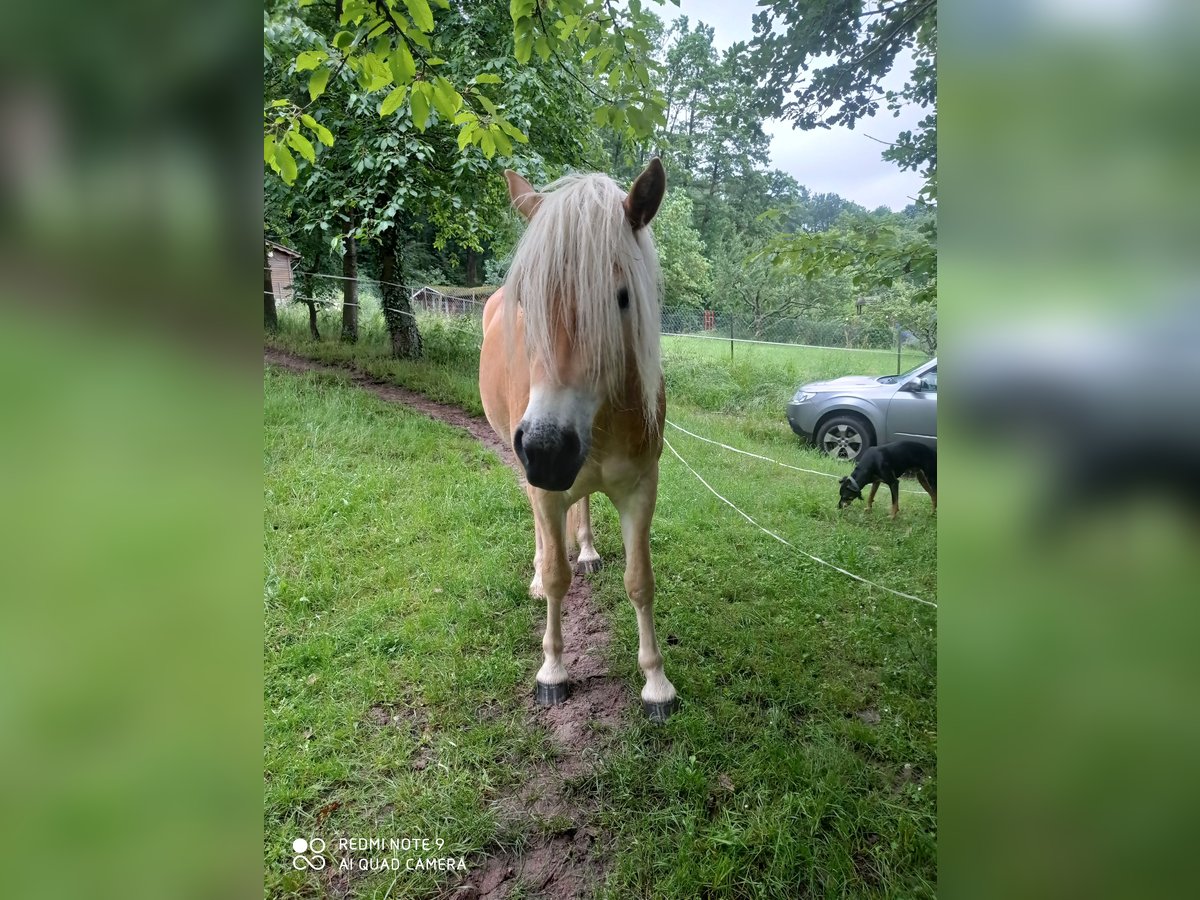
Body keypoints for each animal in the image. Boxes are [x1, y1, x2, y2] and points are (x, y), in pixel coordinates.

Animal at [482, 160, 681, 724]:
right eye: (526, 301)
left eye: (622, 298)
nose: (547, 450)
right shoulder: (544, 488)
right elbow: (555, 575)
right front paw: (552, 671)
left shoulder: (641, 489)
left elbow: (640, 581)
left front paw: (656, 683)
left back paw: (588, 550)